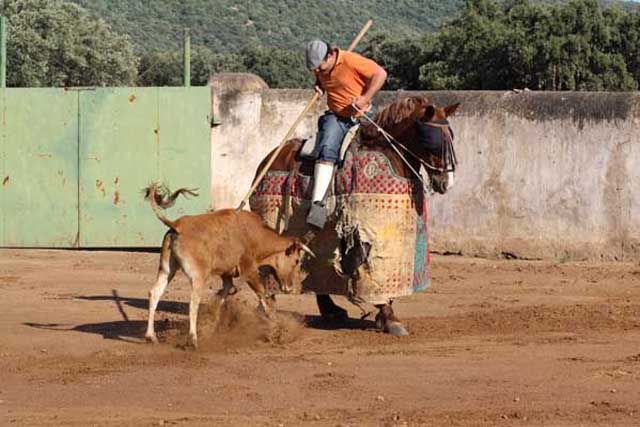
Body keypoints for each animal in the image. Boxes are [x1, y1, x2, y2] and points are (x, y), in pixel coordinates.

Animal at [143, 184, 312, 348]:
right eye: (297, 260)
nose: (289, 288)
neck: (255, 235)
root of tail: (177, 225)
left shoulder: (227, 275)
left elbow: (222, 297)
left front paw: (211, 326)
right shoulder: (249, 271)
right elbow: (264, 299)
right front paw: (277, 331)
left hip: (166, 269)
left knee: (155, 293)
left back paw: (151, 336)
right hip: (198, 275)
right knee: (193, 302)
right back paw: (193, 339)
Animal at [249, 95, 460, 336]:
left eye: (451, 138)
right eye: (433, 141)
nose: (446, 183)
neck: (390, 154)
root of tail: (265, 163)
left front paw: (384, 316)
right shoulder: (368, 233)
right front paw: (389, 318)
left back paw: (330, 310)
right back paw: (268, 309)